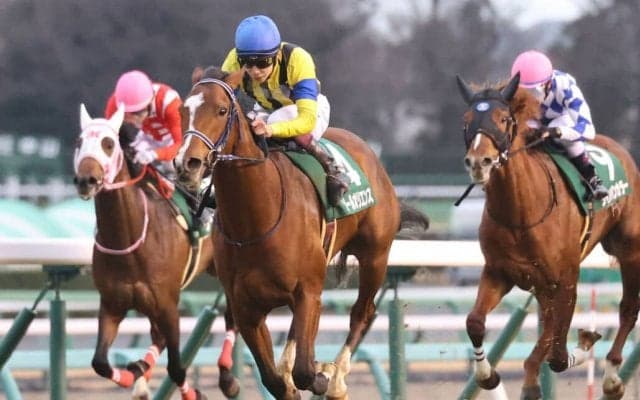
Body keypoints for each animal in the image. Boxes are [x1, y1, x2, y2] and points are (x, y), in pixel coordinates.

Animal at [72, 103, 240, 400]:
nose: (86, 180)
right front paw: (132, 374)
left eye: (108, 144)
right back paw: (141, 371)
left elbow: (176, 368)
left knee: (232, 318)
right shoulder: (112, 304)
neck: (127, 239)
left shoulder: (167, 306)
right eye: (80, 142)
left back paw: (227, 377)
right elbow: (100, 362)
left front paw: (195, 393)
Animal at [175, 66, 429, 400]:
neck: (255, 221)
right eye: (182, 110)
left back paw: (337, 378)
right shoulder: (246, 308)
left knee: (363, 312)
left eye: (221, 110)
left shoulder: (308, 291)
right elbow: (275, 380)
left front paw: (323, 376)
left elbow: (306, 371)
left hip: (375, 255)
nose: (187, 164)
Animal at [456, 72, 640, 400]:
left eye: (503, 118)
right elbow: (475, 322)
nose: (479, 162)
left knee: (628, 309)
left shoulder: (564, 279)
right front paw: (487, 375)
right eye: (466, 120)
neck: (521, 213)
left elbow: (554, 351)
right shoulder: (499, 272)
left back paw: (611, 376)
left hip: (629, 251)